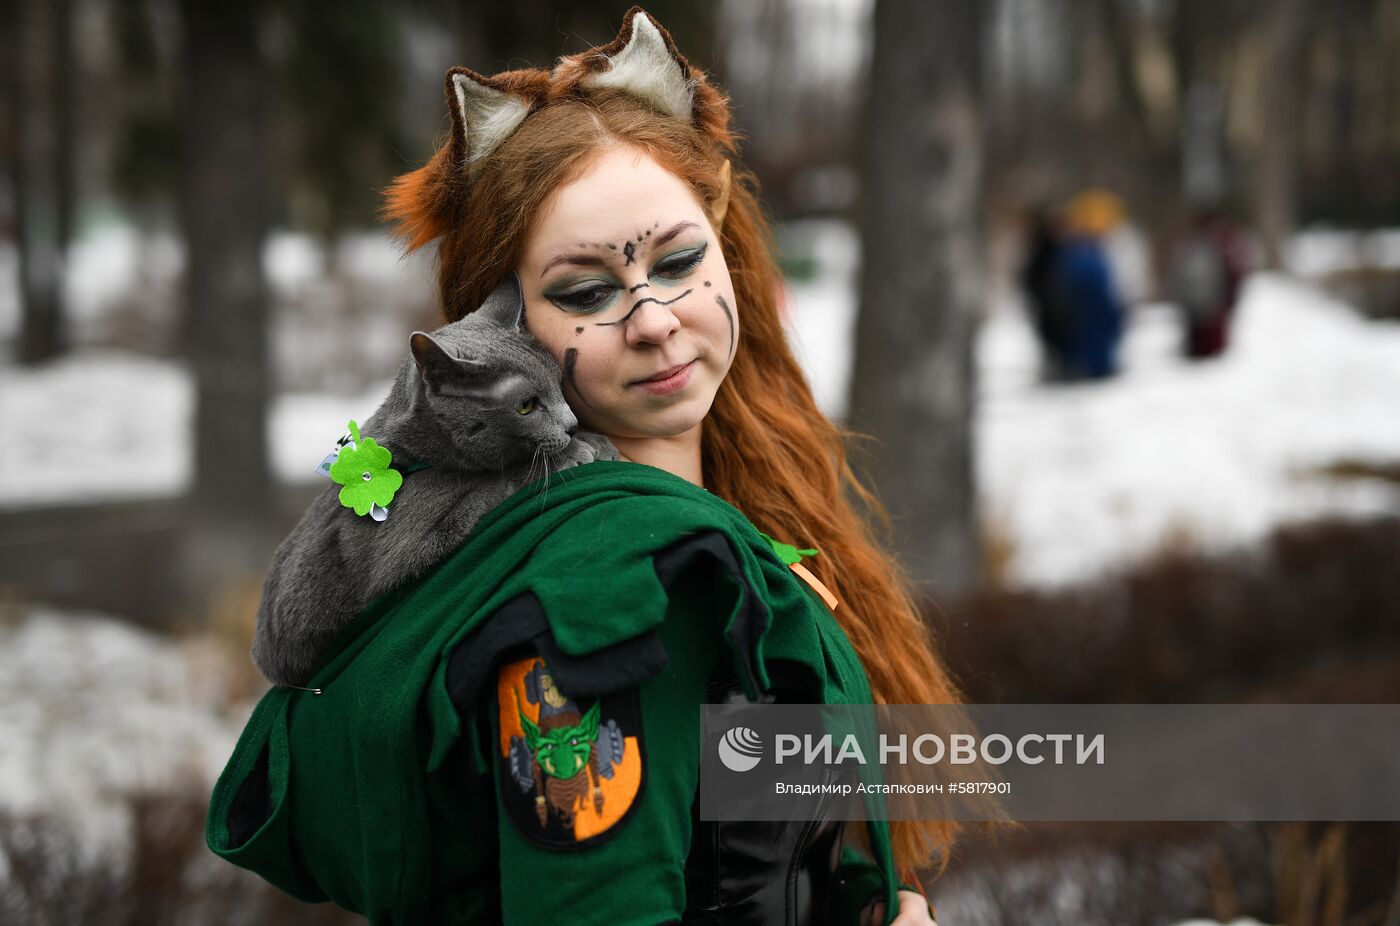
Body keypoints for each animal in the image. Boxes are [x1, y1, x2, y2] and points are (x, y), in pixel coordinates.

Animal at [250, 270, 618, 689]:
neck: (416, 458)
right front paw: (573, 453)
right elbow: (493, 482)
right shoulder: (410, 539)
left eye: (559, 382)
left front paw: (595, 441)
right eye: (526, 406)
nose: (572, 425)